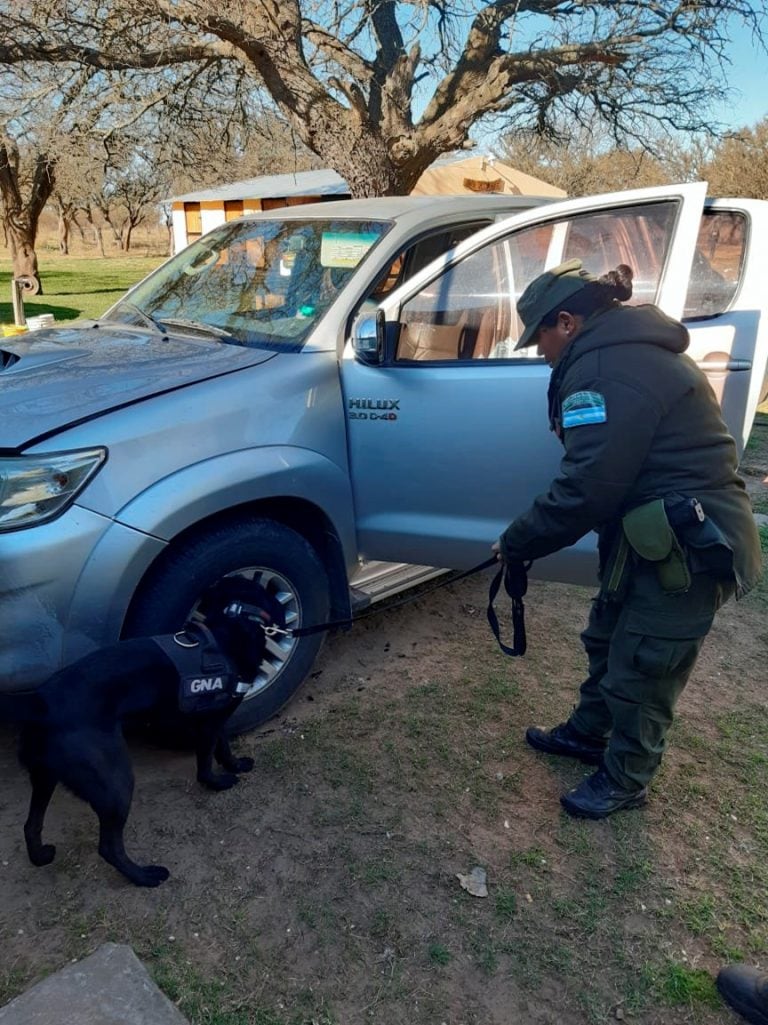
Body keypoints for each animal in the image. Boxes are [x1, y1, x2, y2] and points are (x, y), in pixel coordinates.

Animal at [0, 582, 285, 885]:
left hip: (45, 776)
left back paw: (40, 856)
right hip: (114, 781)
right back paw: (145, 876)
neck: (235, 621)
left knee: (31, 825)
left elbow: (223, 745)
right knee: (108, 847)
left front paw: (236, 765)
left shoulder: (215, 717)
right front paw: (218, 782)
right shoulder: (209, 723)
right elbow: (206, 763)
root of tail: (42, 700)